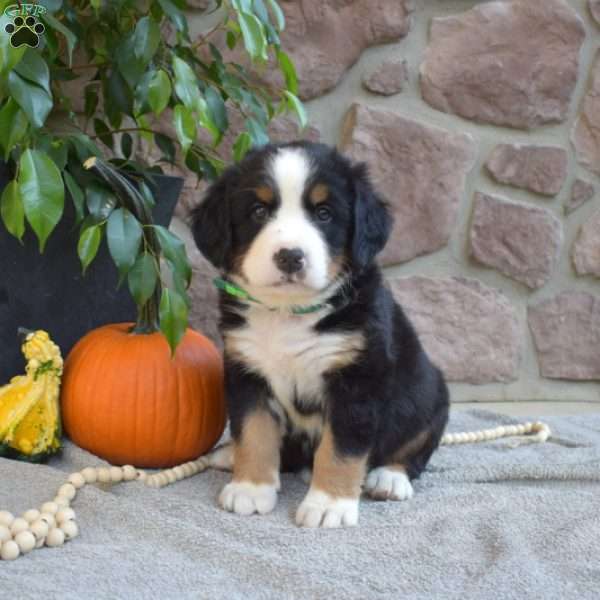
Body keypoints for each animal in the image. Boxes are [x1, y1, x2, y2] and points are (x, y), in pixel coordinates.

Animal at [190, 142, 448, 528]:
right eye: (258, 211)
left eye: (324, 214)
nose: (290, 257)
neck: (288, 313)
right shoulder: (247, 370)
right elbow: (253, 431)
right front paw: (251, 487)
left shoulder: (356, 380)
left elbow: (341, 449)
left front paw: (329, 504)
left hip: (431, 395)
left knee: (414, 448)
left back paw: (389, 478)